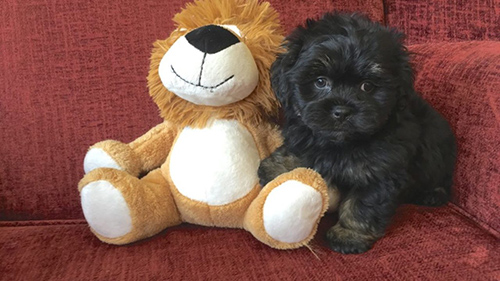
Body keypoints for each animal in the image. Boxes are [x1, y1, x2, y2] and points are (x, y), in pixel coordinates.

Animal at [260, 13, 458, 253]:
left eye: (367, 86)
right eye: (320, 81)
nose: (342, 111)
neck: (342, 143)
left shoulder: (380, 169)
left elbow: (363, 204)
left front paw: (350, 235)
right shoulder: (307, 130)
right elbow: (301, 148)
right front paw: (276, 165)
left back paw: (432, 194)